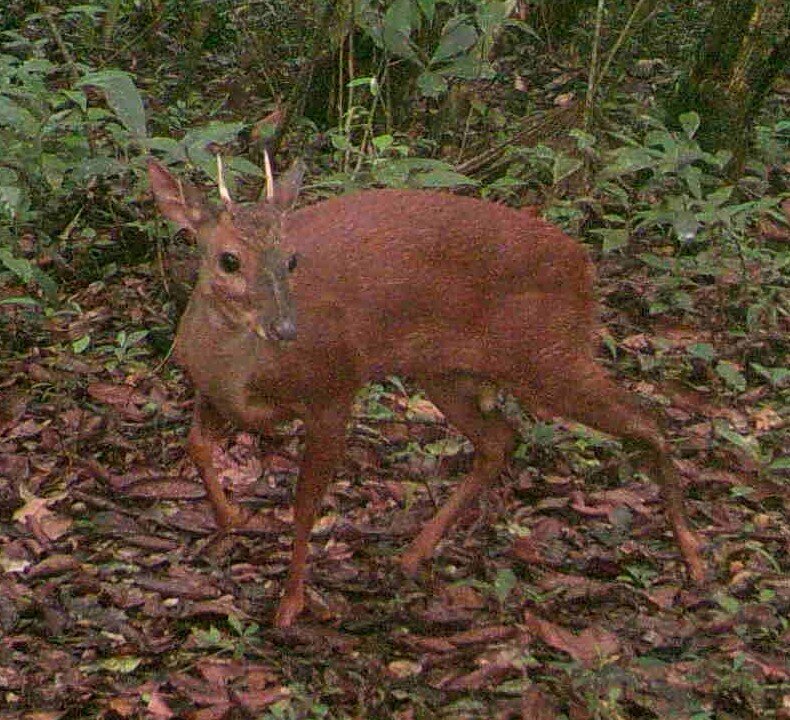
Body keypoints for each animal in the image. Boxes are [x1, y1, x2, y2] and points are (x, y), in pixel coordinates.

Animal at [147, 160, 704, 628]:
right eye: (229, 259)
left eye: (291, 261)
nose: (285, 328)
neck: (242, 368)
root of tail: (583, 264)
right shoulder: (210, 390)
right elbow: (197, 446)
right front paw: (231, 522)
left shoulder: (334, 388)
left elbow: (306, 503)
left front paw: (290, 603)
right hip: (446, 371)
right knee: (502, 437)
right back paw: (413, 553)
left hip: (548, 353)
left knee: (647, 419)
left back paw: (694, 559)